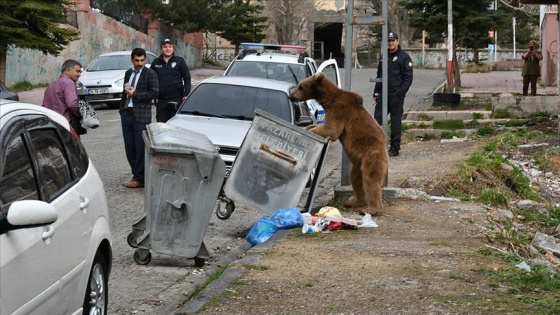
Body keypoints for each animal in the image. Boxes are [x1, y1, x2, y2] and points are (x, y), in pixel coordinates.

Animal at [290, 72, 388, 216]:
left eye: (300, 86)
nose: (291, 96)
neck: (328, 100)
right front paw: (308, 127)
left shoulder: (339, 111)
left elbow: (330, 129)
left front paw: (311, 130)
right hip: (357, 163)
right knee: (356, 179)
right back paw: (353, 202)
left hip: (371, 155)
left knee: (370, 180)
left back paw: (370, 209)